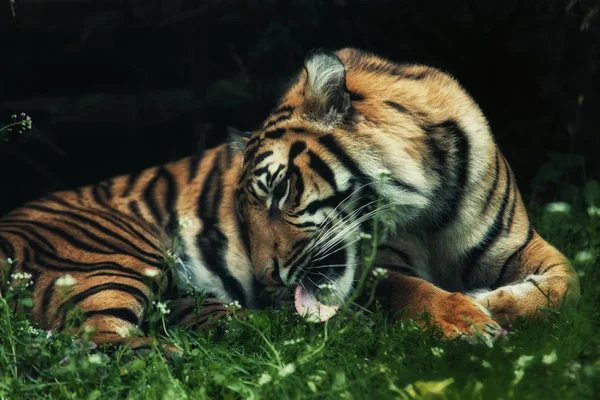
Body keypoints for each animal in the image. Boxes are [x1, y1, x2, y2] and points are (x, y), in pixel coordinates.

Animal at [232, 46, 580, 340]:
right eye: (244, 217)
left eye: (279, 189)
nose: (266, 278)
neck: (428, 212)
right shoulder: (382, 266)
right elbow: (412, 290)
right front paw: (466, 320)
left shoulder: (519, 245)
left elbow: (567, 285)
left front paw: (488, 304)